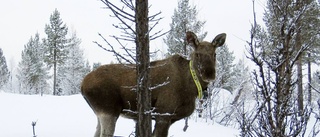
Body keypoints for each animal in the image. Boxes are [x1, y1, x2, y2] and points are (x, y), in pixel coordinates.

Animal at [81, 31, 226, 137]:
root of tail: (82, 86)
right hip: (109, 111)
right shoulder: (163, 114)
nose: (209, 75)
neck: (192, 89)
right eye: (197, 54)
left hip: (101, 114)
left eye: (215, 54)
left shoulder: (168, 118)